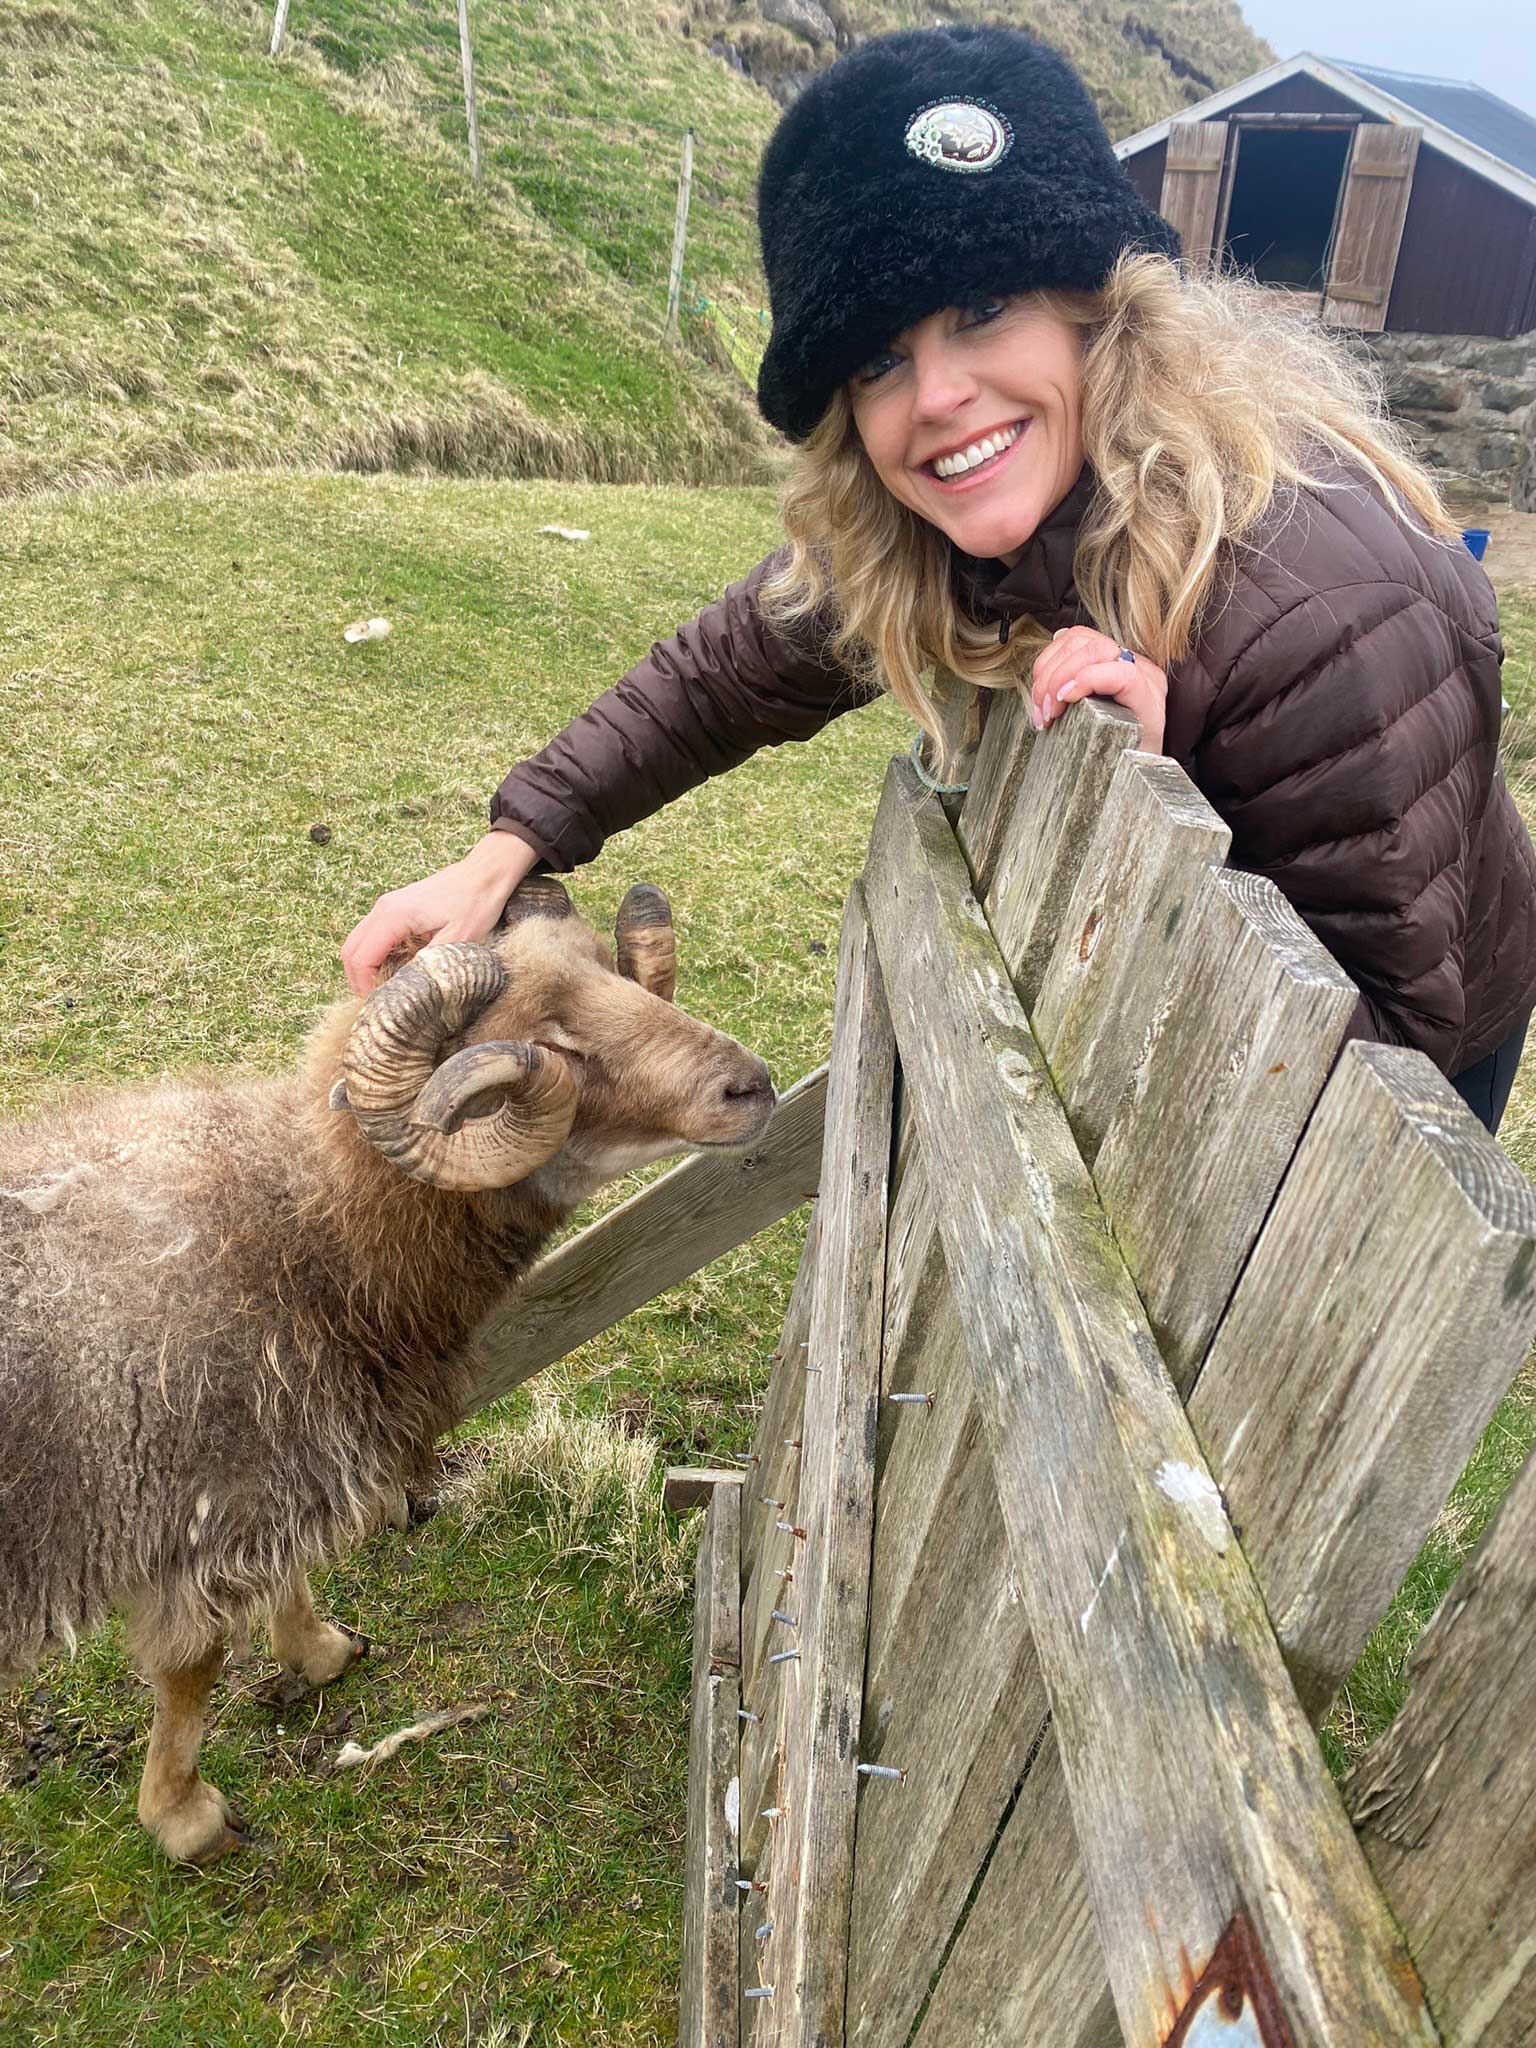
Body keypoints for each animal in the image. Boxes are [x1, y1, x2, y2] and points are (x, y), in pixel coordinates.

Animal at [0, 875, 774, 1864]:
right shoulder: (206, 1502)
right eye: (555, 1041)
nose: (752, 1083)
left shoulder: (283, 1463)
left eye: (610, 966)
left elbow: (286, 1573)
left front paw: (318, 1650)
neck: (304, 1231)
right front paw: (185, 1817)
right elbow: (191, 1668)